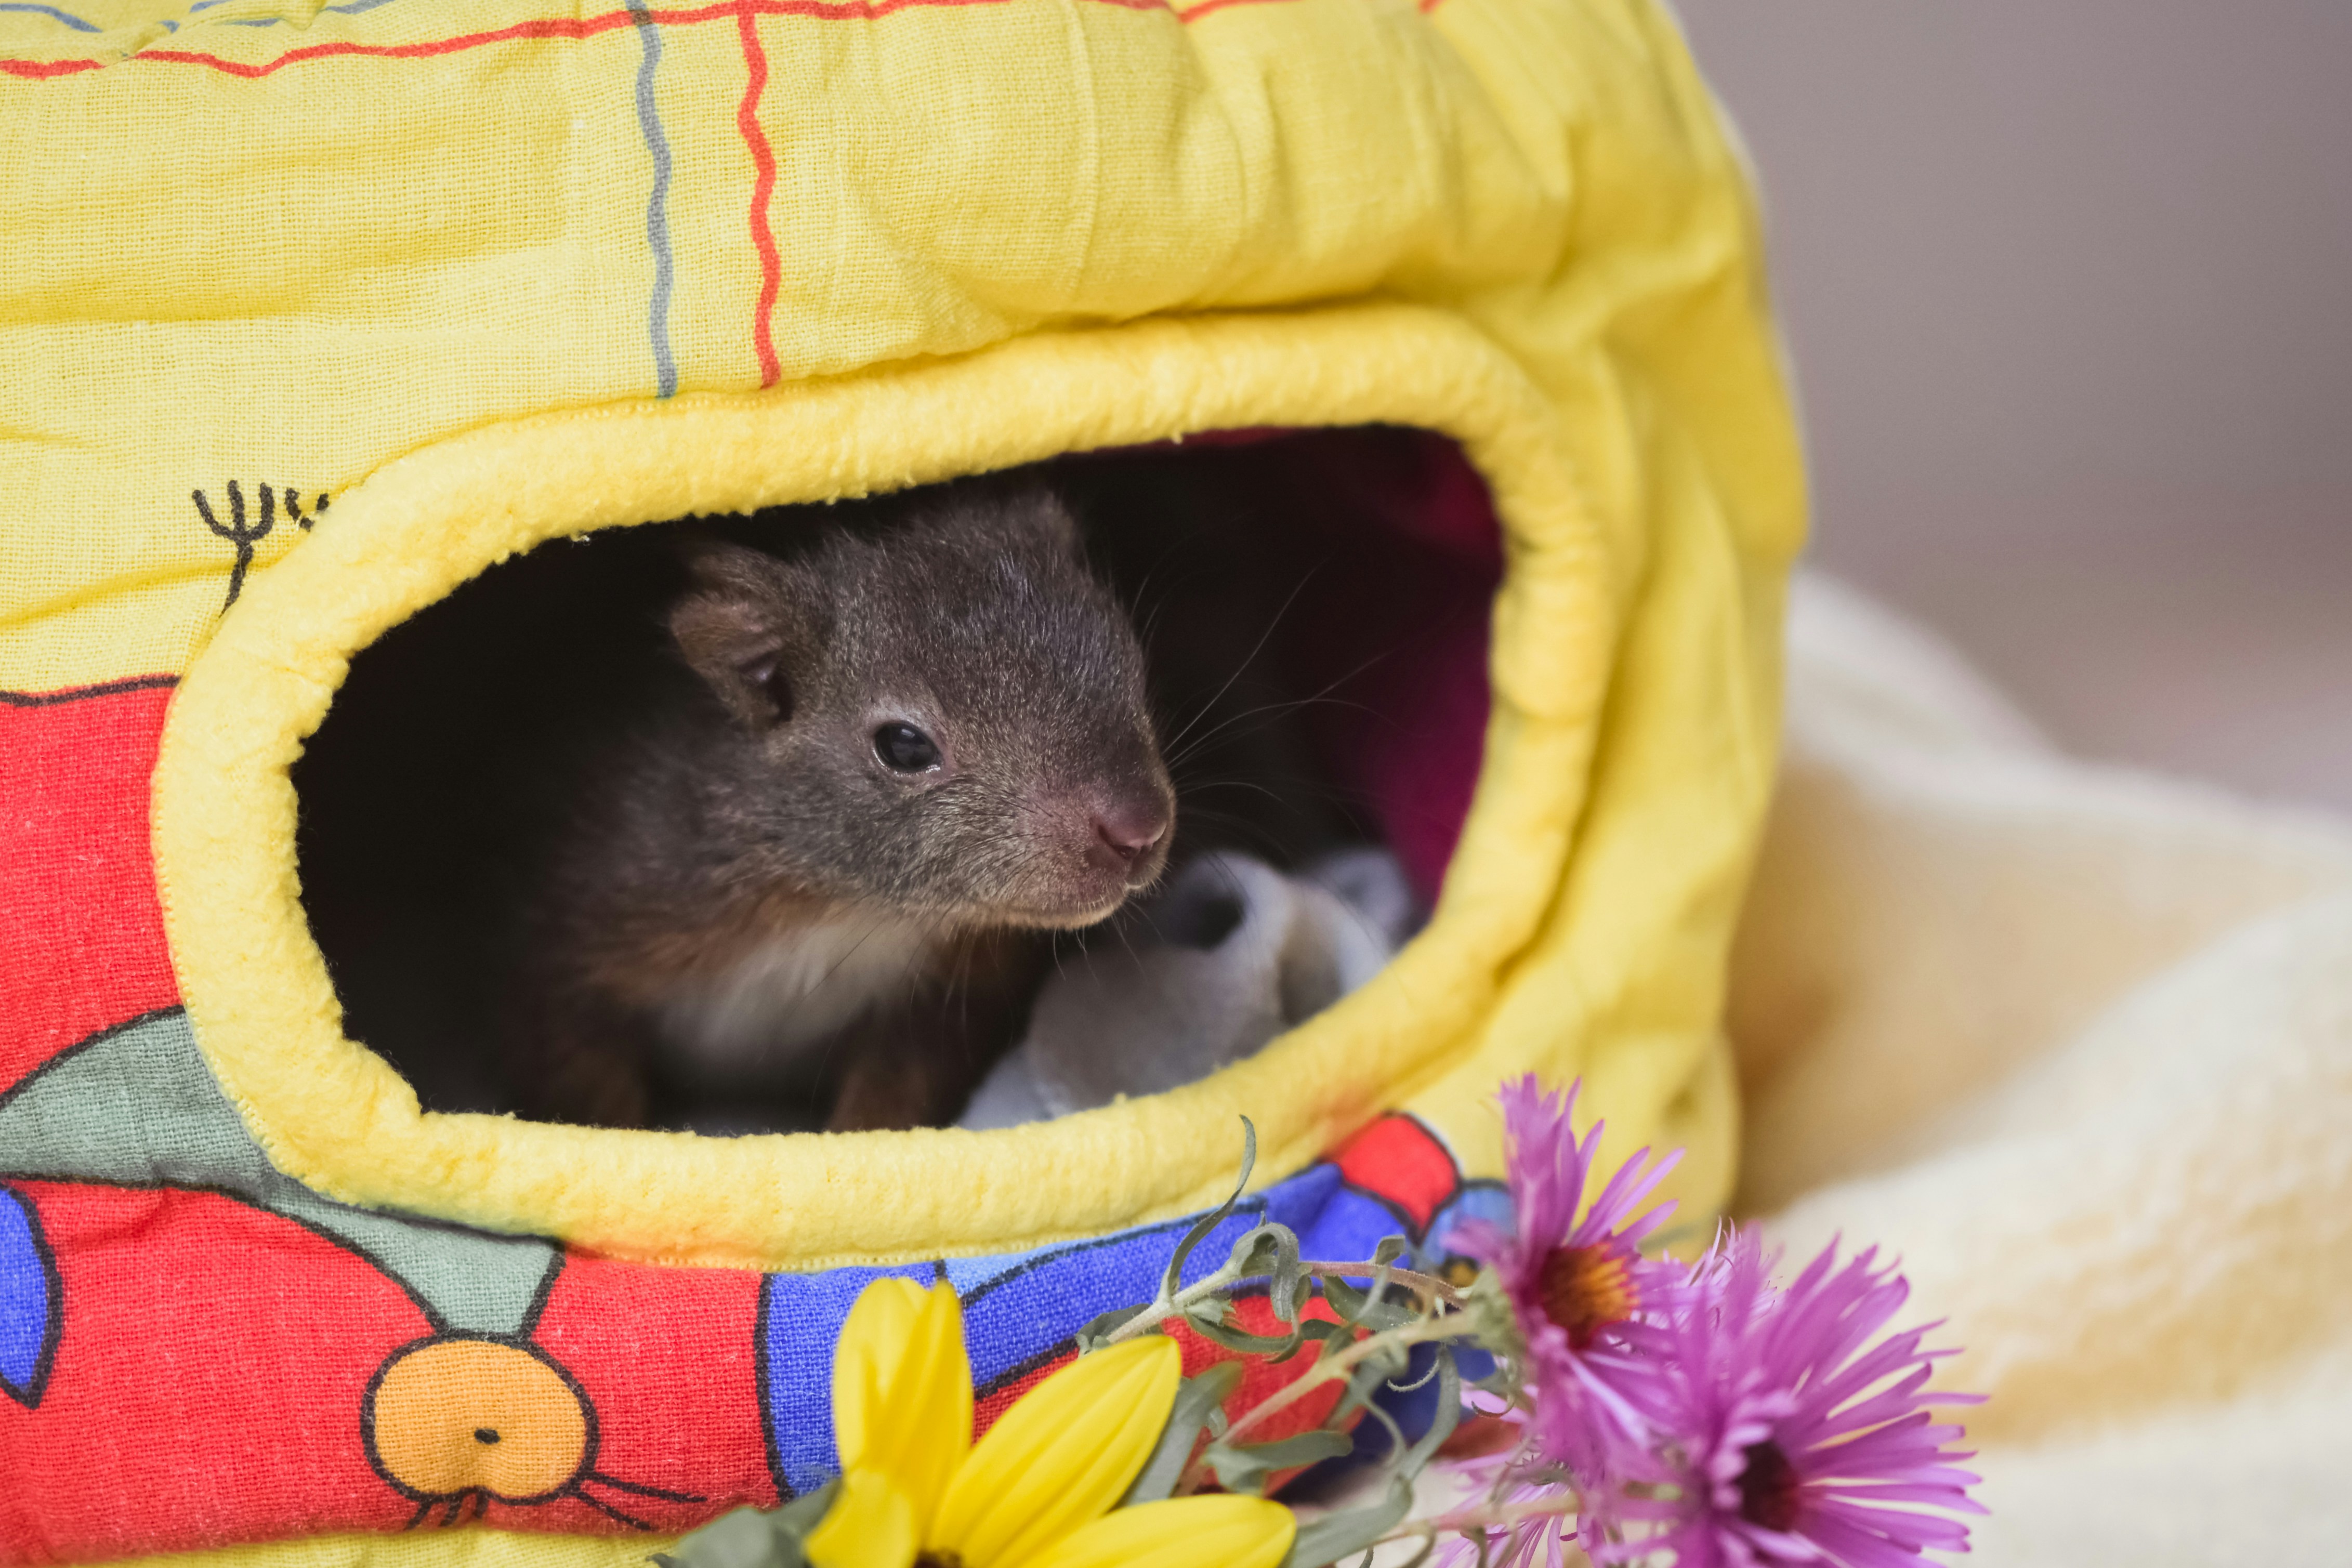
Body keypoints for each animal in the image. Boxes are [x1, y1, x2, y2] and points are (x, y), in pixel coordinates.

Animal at [501, 480, 1176, 1133]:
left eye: (1129, 661)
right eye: (904, 745)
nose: (1139, 829)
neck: (841, 910)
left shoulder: (949, 989)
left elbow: (897, 1087)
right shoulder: (572, 934)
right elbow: (580, 1079)